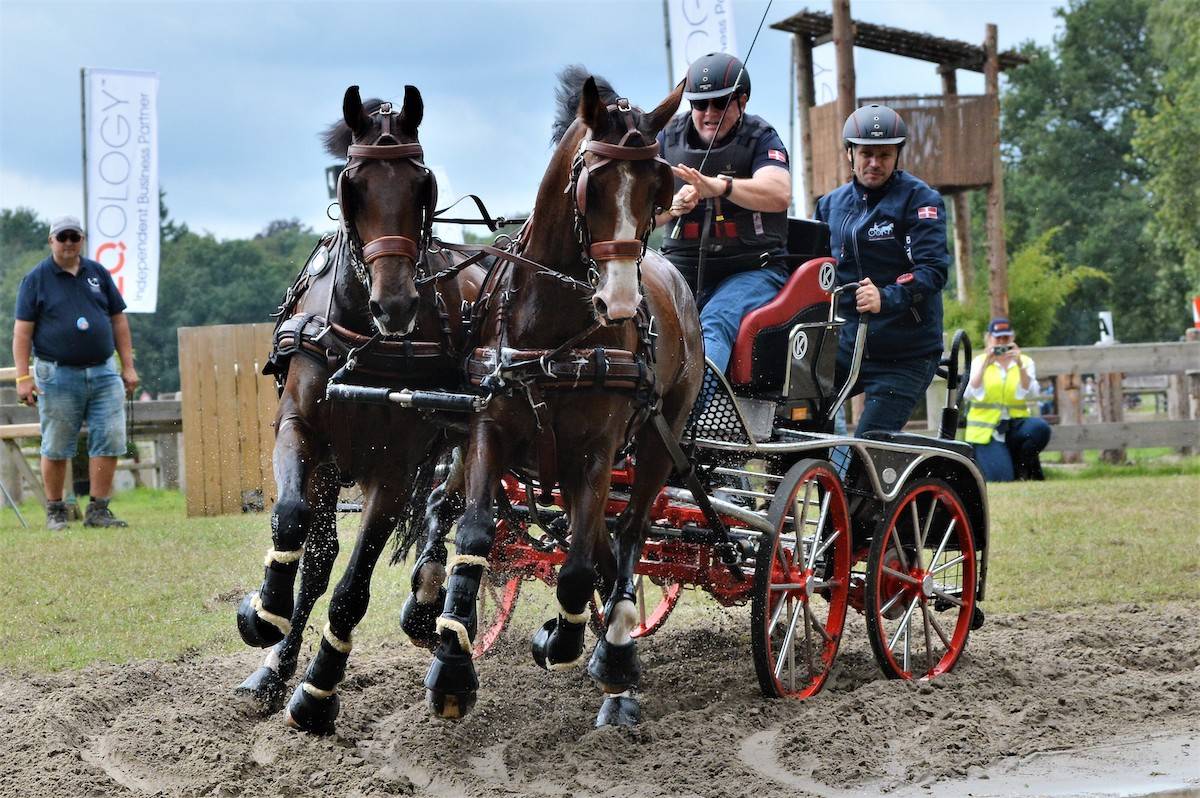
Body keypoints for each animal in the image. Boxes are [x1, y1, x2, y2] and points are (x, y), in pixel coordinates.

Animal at [233, 84, 481, 735]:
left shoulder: (391, 473)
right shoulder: (301, 434)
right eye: (354, 186)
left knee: (450, 512)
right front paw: (263, 615)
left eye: (422, 186)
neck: (365, 343)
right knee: (321, 557)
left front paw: (318, 691)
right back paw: (273, 666)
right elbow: (293, 523)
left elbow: (351, 590)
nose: (395, 304)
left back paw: (434, 612)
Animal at [422, 67, 704, 727]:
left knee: (628, 533)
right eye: (592, 184)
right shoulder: (488, 428)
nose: (620, 304)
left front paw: (564, 639)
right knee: (602, 541)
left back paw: (615, 658)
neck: (551, 330)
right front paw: (452, 668)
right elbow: (476, 534)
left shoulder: (599, 447)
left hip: (656, 444)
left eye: (658, 187)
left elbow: (576, 564)